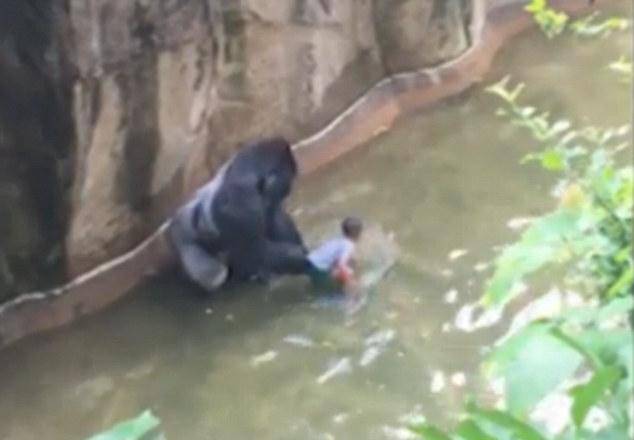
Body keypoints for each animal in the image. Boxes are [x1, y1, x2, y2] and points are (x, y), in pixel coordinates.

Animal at [167, 138, 308, 292]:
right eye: (288, 177)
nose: (289, 188)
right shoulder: (240, 202)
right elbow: (254, 249)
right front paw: (297, 259)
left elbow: (274, 221)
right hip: (182, 237)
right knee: (213, 273)